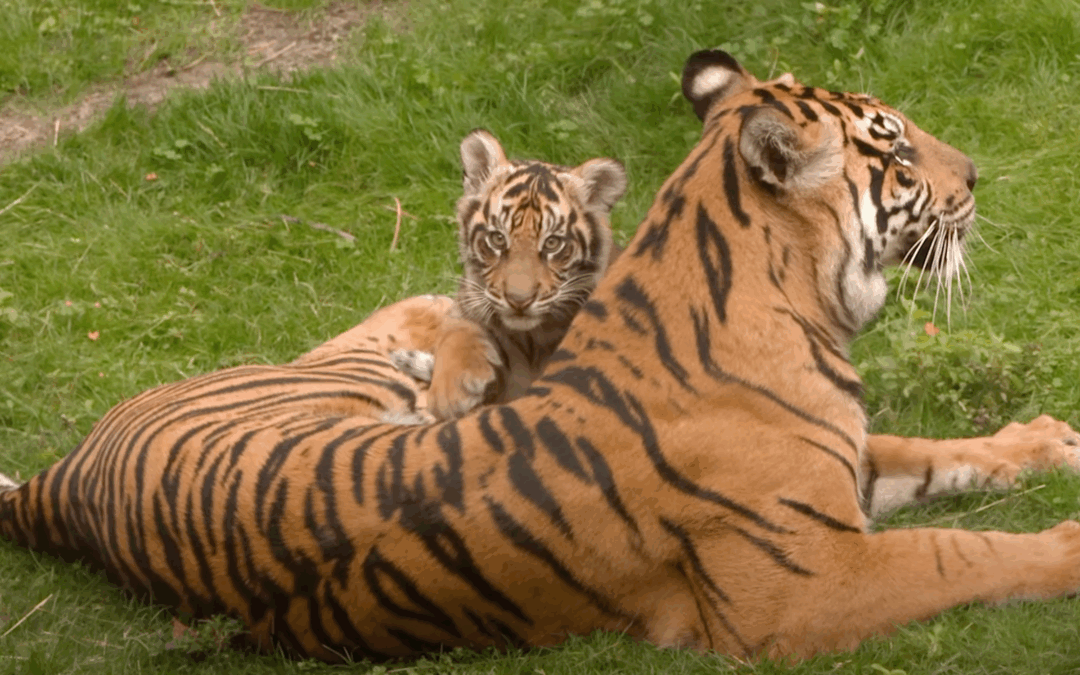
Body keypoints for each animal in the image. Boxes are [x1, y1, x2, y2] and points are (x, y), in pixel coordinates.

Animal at [2, 49, 1080, 663]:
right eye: (895, 151)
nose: (976, 173)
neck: (806, 310)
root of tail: (65, 479)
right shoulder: (803, 582)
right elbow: (963, 551)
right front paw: (1064, 544)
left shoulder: (841, 473)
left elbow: (934, 453)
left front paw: (1049, 441)